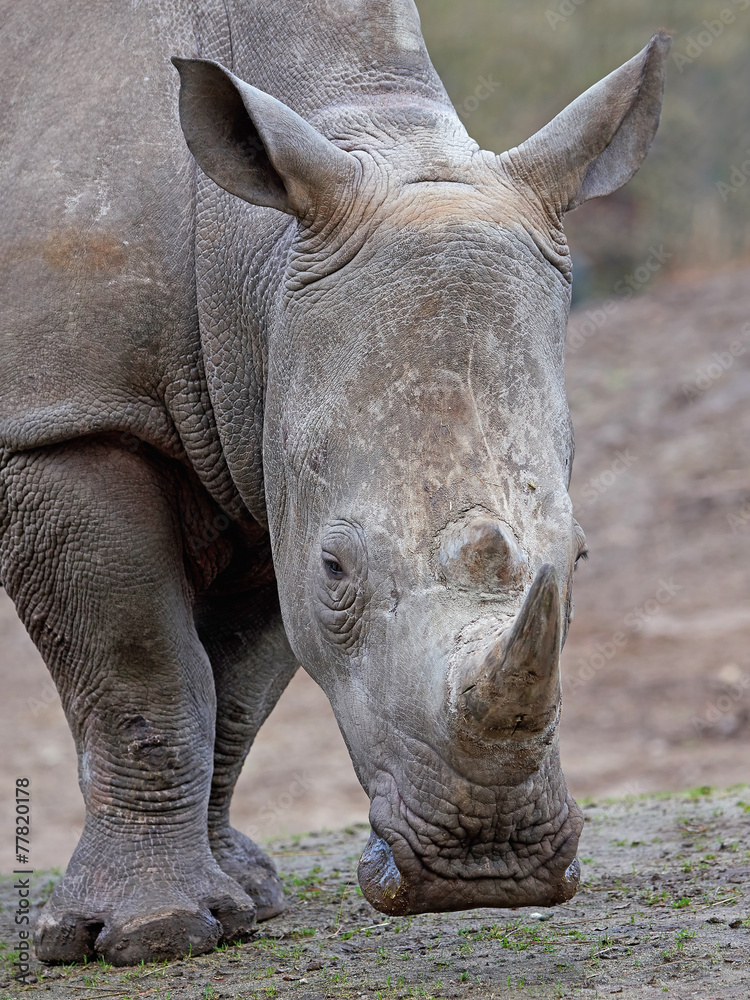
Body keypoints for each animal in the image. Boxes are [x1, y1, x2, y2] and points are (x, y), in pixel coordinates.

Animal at [0, 0, 669, 966]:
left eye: (579, 558)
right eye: (337, 571)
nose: (489, 867)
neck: (254, 258)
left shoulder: (262, 455)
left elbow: (234, 694)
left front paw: (248, 900)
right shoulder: (62, 420)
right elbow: (143, 674)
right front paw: (155, 935)